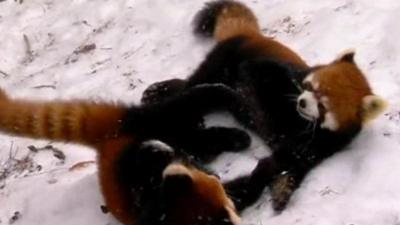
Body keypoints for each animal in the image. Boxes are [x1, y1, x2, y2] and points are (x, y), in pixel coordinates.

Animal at [0, 84, 244, 225]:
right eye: (227, 208)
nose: (174, 167)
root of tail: (108, 140)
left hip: (151, 122)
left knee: (184, 104)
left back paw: (226, 97)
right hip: (177, 133)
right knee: (200, 137)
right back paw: (233, 136)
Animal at [141, 0, 388, 213]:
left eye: (323, 106)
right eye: (309, 87)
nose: (302, 102)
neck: (299, 121)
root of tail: (250, 34)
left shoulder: (316, 146)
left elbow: (283, 164)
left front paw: (282, 188)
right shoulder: (274, 72)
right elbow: (255, 76)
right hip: (223, 61)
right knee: (195, 83)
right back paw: (164, 92)